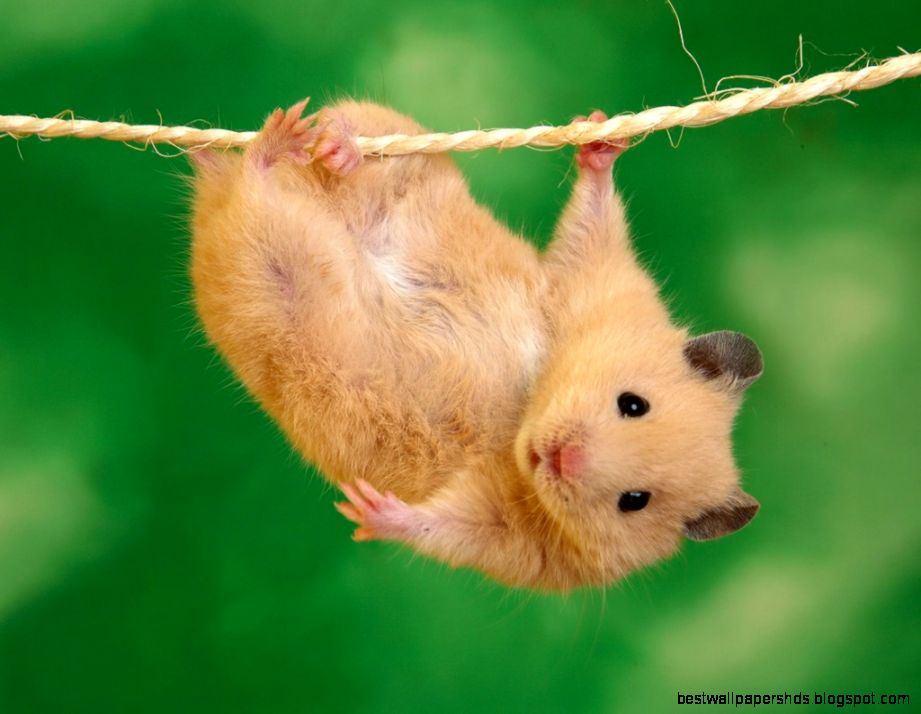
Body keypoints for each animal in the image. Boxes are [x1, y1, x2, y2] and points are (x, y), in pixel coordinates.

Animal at [188, 100, 763, 591]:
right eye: (633, 404)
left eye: (635, 501)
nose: (560, 458)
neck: (526, 410)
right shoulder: (591, 283)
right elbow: (592, 225)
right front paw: (600, 134)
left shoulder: (516, 539)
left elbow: (445, 528)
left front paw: (365, 509)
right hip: (403, 160)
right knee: (348, 139)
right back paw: (318, 142)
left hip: (267, 275)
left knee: (253, 196)